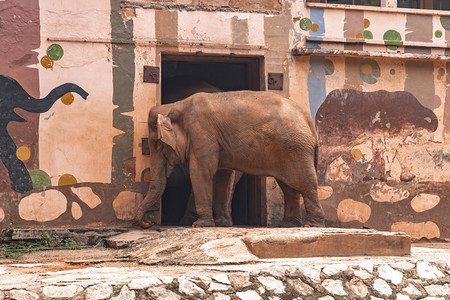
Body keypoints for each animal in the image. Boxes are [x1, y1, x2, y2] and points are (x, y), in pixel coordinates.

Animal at [135, 90, 326, 229]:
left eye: (157, 143)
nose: (148, 223)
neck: (175, 106)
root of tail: (308, 119)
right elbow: (223, 175)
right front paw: (222, 224)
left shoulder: (202, 133)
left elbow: (201, 172)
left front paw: (200, 225)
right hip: (289, 151)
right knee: (289, 187)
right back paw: (287, 225)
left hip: (296, 148)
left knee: (305, 184)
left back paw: (311, 225)